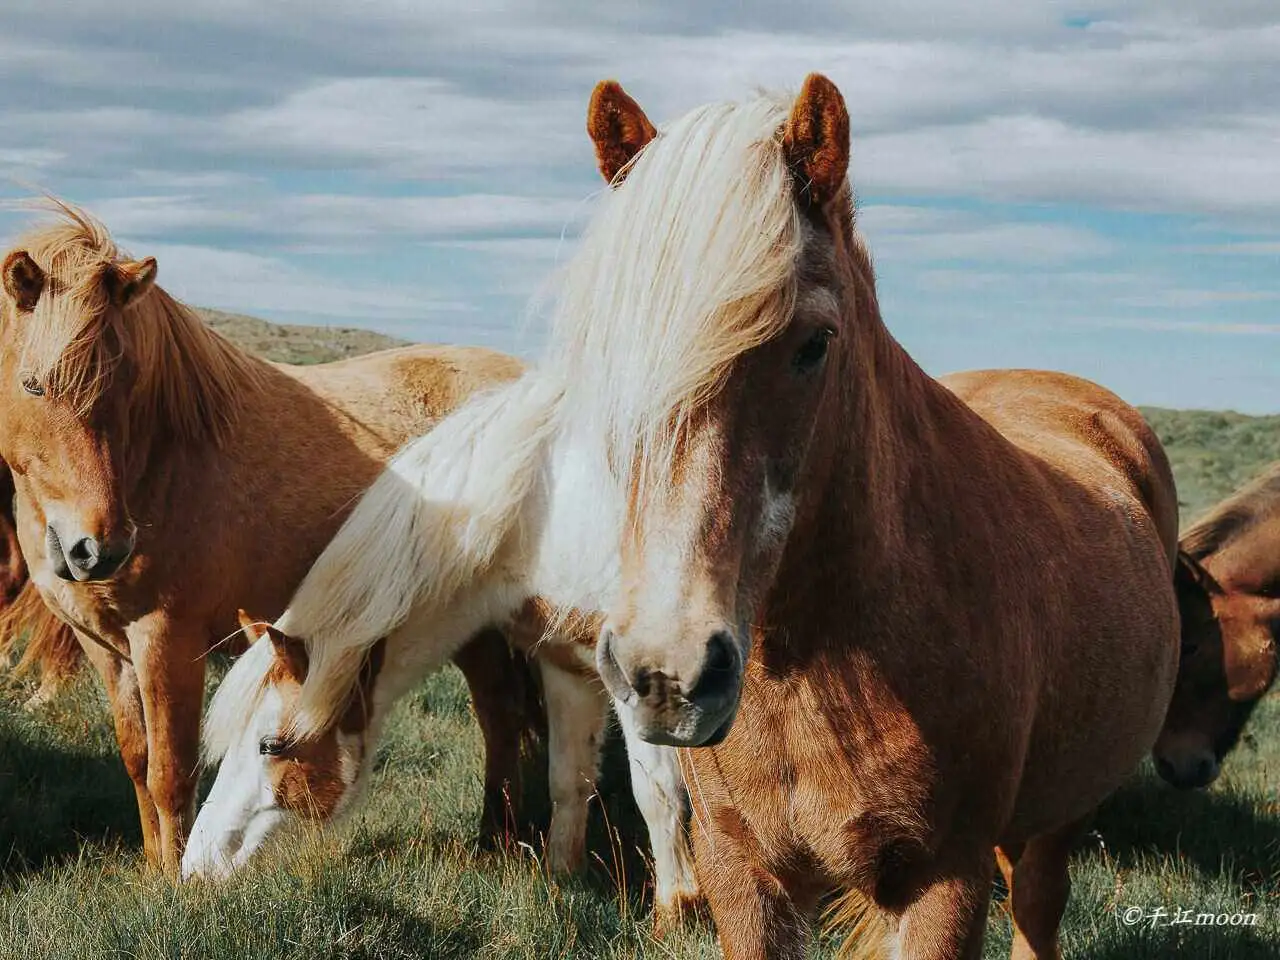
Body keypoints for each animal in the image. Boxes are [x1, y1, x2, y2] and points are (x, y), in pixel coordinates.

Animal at [0, 204, 540, 880]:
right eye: (33, 386)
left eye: (127, 384)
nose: (99, 548)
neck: (164, 460)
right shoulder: (105, 649)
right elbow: (137, 761)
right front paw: (155, 868)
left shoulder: (169, 643)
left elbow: (172, 771)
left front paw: (179, 883)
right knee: (503, 713)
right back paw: (497, 840)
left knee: (503, 716)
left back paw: (500, 842)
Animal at [570, 77, 1177, 960]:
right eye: (605, 349)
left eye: (815, 343)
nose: (667, 672)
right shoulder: (739, 872)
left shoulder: (943, 881)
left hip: (1059, 816)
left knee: (1037, 899)